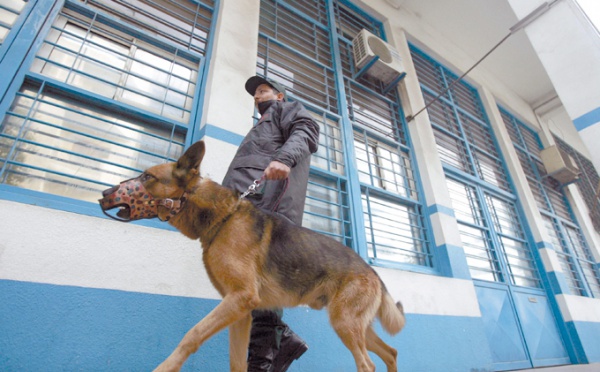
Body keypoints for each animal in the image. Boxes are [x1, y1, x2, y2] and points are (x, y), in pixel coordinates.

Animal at [99, 141, 408, 370]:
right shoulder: (239, 311)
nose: (104, 193)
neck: (222, 218)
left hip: (345, 323)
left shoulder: (241, 299)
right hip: (355, 325)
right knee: (390, 352)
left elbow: (192, 335)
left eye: (147, 177)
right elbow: (237, 362)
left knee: (368, 364)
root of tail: (372, 271)